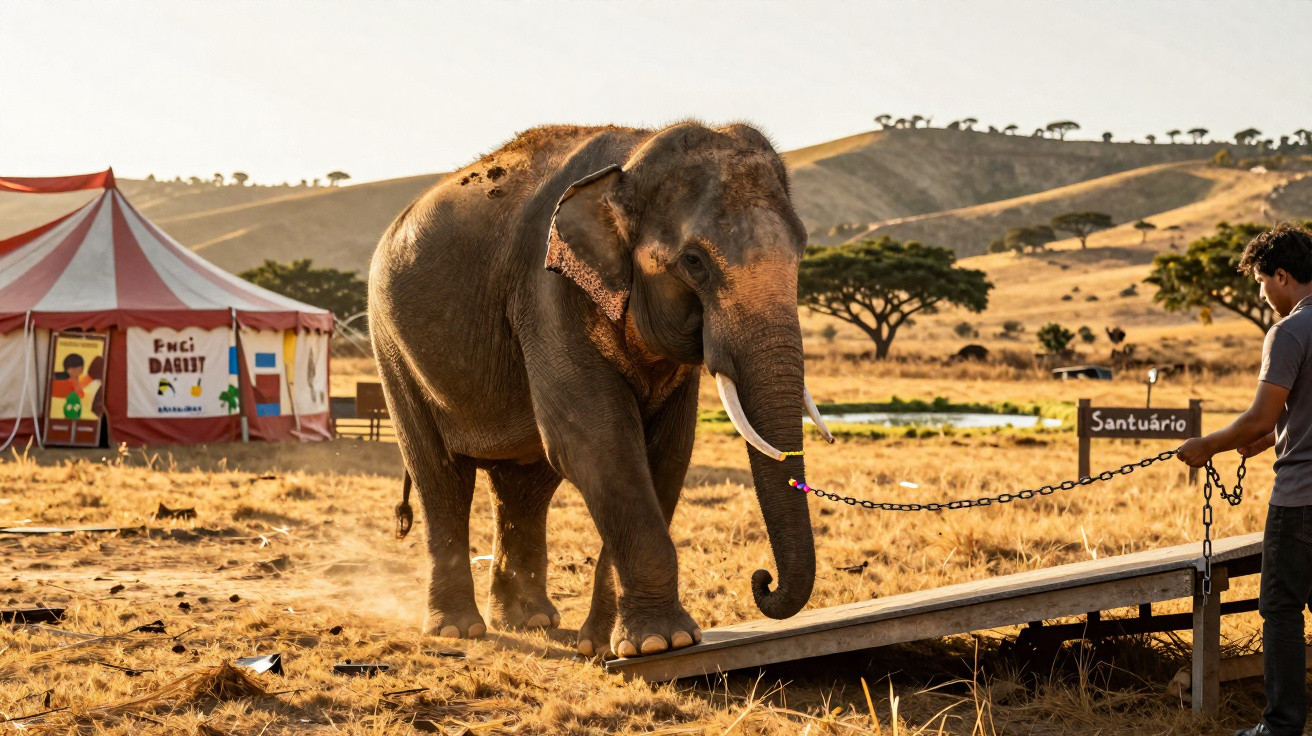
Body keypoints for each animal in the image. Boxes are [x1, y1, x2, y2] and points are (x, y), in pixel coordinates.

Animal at [369, 121, 834, 659]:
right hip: (392, 350)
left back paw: (530, 620)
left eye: (801, 250)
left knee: (524, 486)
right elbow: (598, 443)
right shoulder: (548, 292)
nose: (763, 580)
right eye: (694, 261)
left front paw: (609, 646)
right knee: (442, 477)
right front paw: (660, 643)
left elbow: (666, 454)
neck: (633, 158)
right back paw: (458, 630)